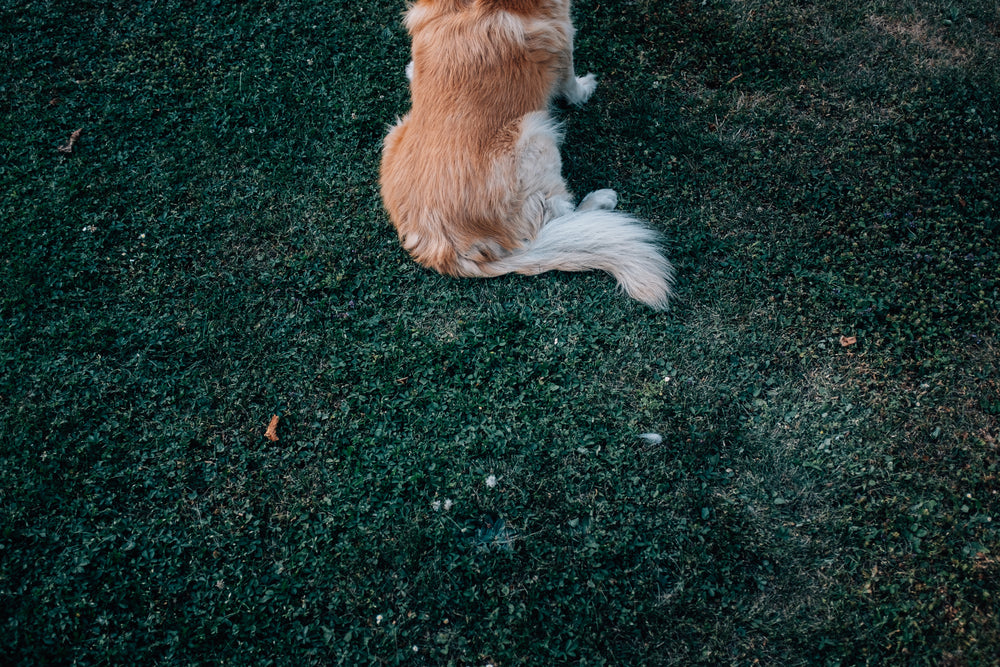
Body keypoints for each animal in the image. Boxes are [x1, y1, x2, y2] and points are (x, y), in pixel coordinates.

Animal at [378, 0, 676, 308]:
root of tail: (446, 250)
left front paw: (412, 70)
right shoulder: (563, 38)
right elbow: (570, 84)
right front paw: (584, 90)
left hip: (394, 133)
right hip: (535, 134)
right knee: (558, 215)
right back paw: (600, 201)